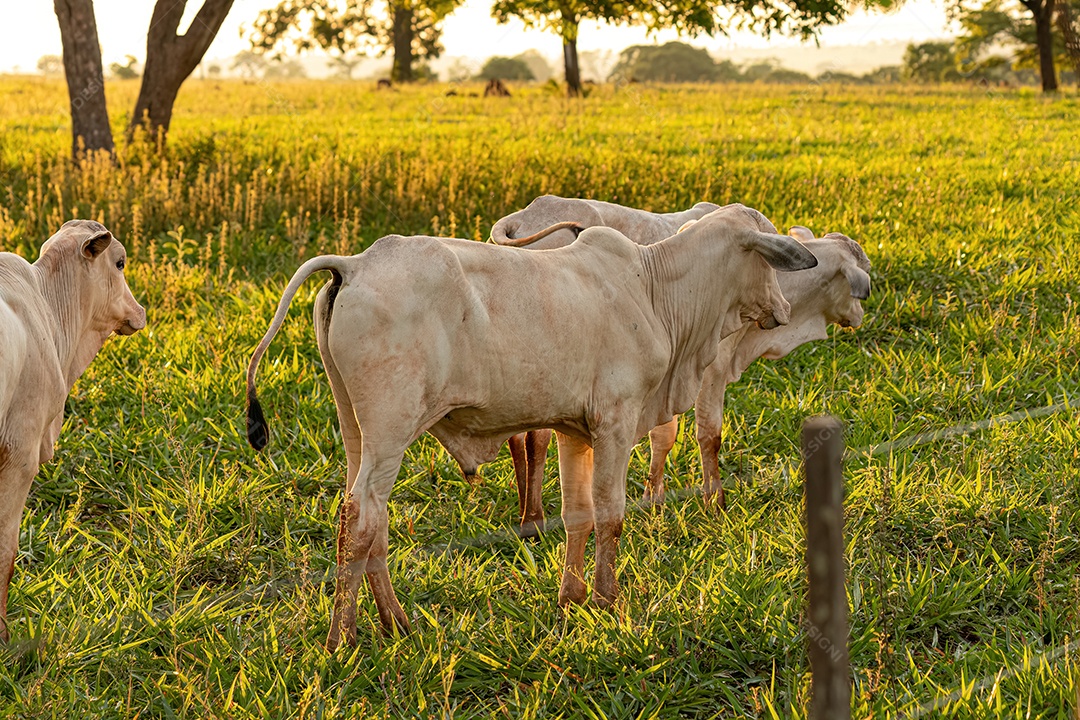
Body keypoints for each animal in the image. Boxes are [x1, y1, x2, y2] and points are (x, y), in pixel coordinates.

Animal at [245, 204, 818, 649]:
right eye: (769, 258)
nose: (785, 309)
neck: (655, 289)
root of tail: (355, 263)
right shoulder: (615, 421)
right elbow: (610, 514)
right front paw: (608, 600)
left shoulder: (574, 431)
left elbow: (577, 515)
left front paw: (572, 599)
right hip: (390, 430)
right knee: (362, 518)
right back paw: (343, 638)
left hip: (357, 432)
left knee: (368, 520)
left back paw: (397, 625)